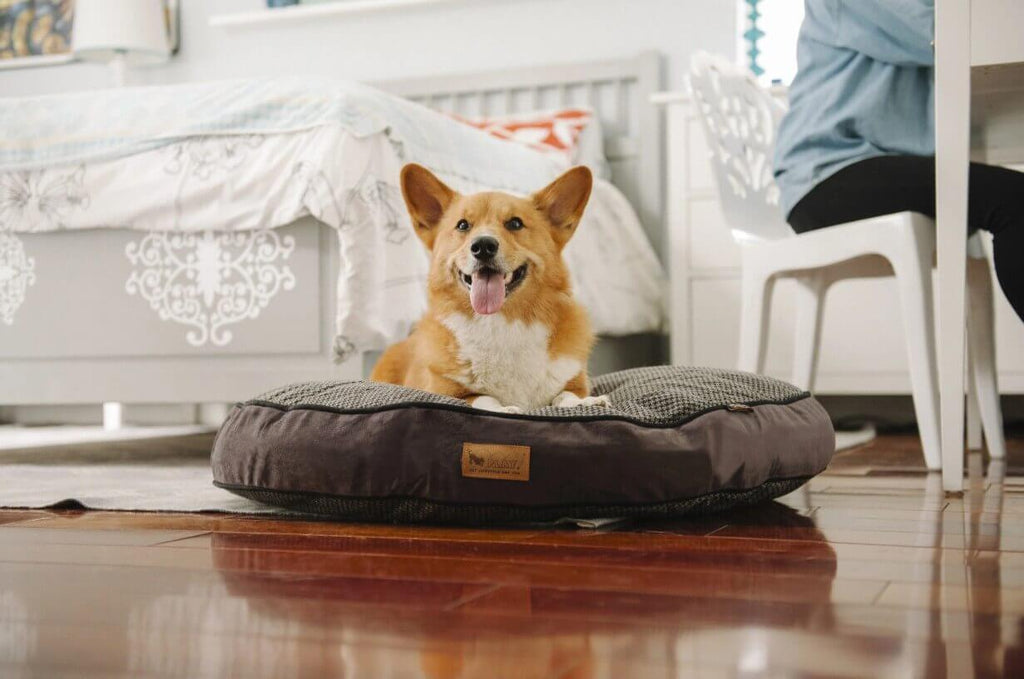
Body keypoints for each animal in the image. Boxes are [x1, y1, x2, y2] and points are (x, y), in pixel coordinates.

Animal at [370, 163, 602, 413]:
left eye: (515, 223)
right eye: (462, 225)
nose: (483, 246)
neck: (501, 324)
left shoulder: (574, 381)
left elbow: (566, 394)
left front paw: (584, 402)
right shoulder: (447, 392)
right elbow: (482, 398)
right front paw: (506, 409)